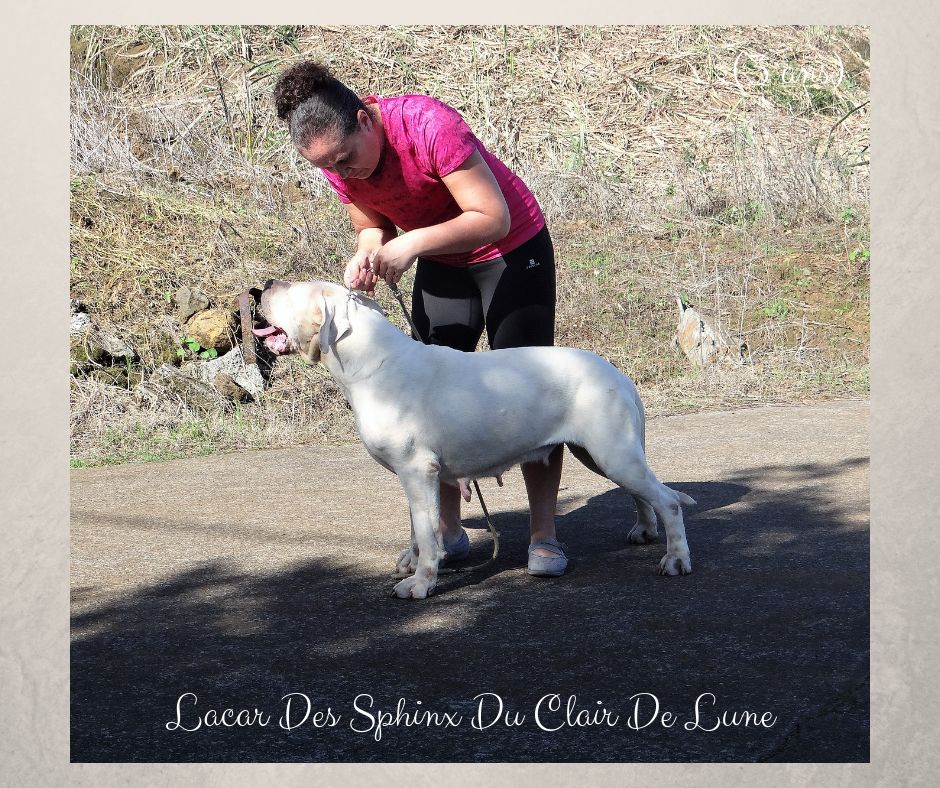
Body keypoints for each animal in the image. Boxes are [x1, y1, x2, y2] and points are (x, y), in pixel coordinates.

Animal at [253, 282, 692, 596]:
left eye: (290, 289)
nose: (263, 286)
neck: (370, 363)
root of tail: (619, 374)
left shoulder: (417, 471)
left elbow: (427, 533)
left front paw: (420, 583)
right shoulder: (414, 478)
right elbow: (417, 526)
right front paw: (414, 562)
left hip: (612, 453)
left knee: (668, 500)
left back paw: (675, 560)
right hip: (600, 454)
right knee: (643, 494)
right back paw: (644, 531)